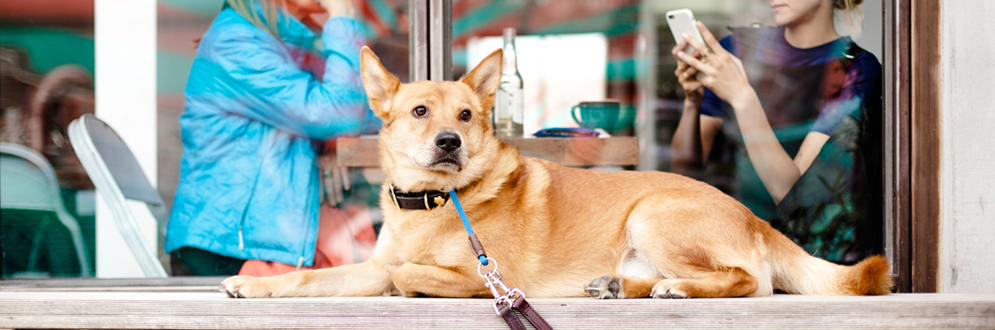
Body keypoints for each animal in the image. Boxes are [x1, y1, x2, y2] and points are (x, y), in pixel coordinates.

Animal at [220, 45, 896, 300]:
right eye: (419, 111)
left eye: (466, 115)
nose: (449, 140)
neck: (435, 203)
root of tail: (756, 219)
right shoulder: (369, 263)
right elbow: (317, 278)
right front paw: (257, 286)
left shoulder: (486, 276)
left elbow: (408, 272)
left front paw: (408, 283)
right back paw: (622, 287)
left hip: (654, 214)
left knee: (751, 282)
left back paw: (674, 289)